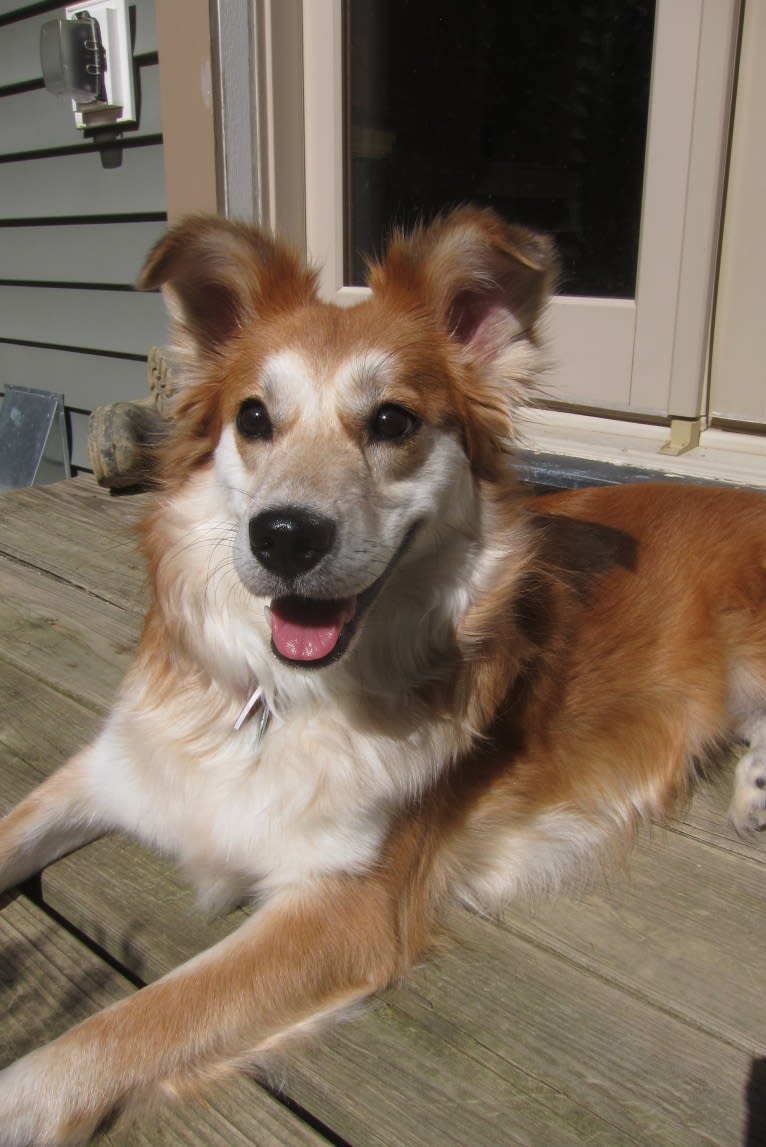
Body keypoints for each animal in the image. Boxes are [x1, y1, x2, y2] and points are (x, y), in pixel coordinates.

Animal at [1, 208, 766, 1147]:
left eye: (393, 421)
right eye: (253, 416)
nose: (284, 536)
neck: (281, 700)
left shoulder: (344, 906)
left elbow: (120, 1027)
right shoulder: (114, 766)